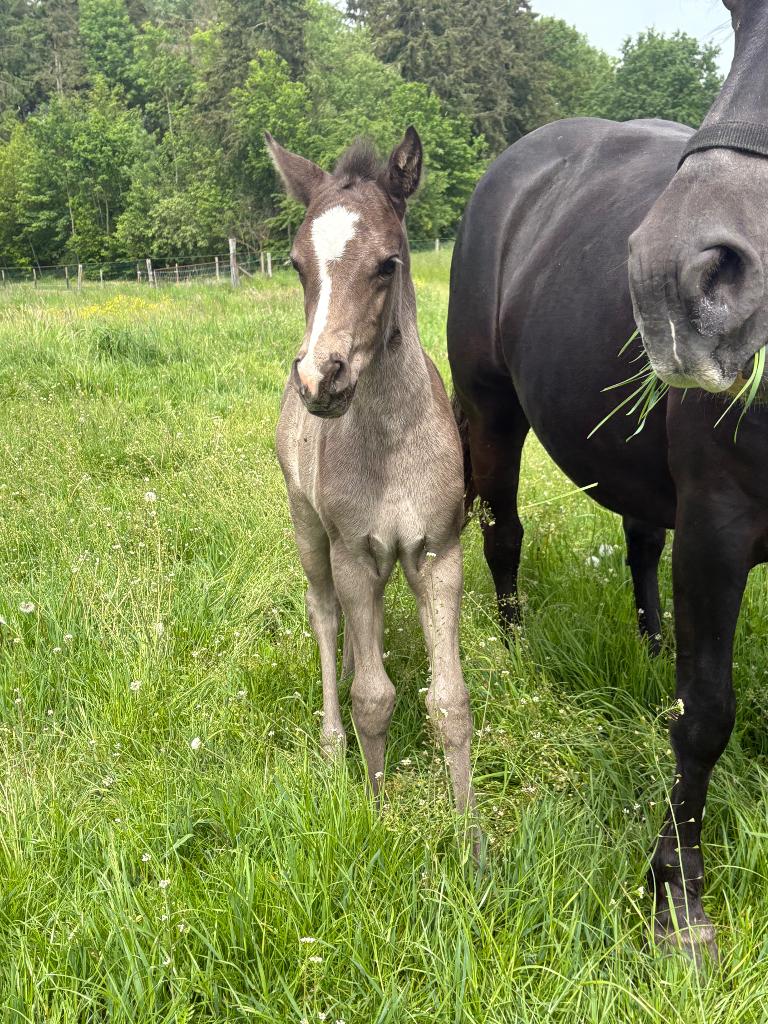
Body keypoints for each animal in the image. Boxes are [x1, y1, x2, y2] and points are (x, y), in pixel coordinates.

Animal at [267, 127, 477, 843]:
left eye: (388, 264)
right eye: (296, 265)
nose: (319, 379)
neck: (388, 443)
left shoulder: (439, 553)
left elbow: (450, 702)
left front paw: (472, 841)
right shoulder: (353, 553)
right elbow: (373, 697)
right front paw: (378, 812)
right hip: (309, 530)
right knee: (325, 615)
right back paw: (334, 747)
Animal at [448, 0, 768, 960]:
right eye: (735, 17)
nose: (673, 278)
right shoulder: (719, 528)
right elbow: (705, 715)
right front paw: (678, 898)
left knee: (639, 544)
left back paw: (650, 648)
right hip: (490, 410)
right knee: (502, 532)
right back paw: (515, 649)